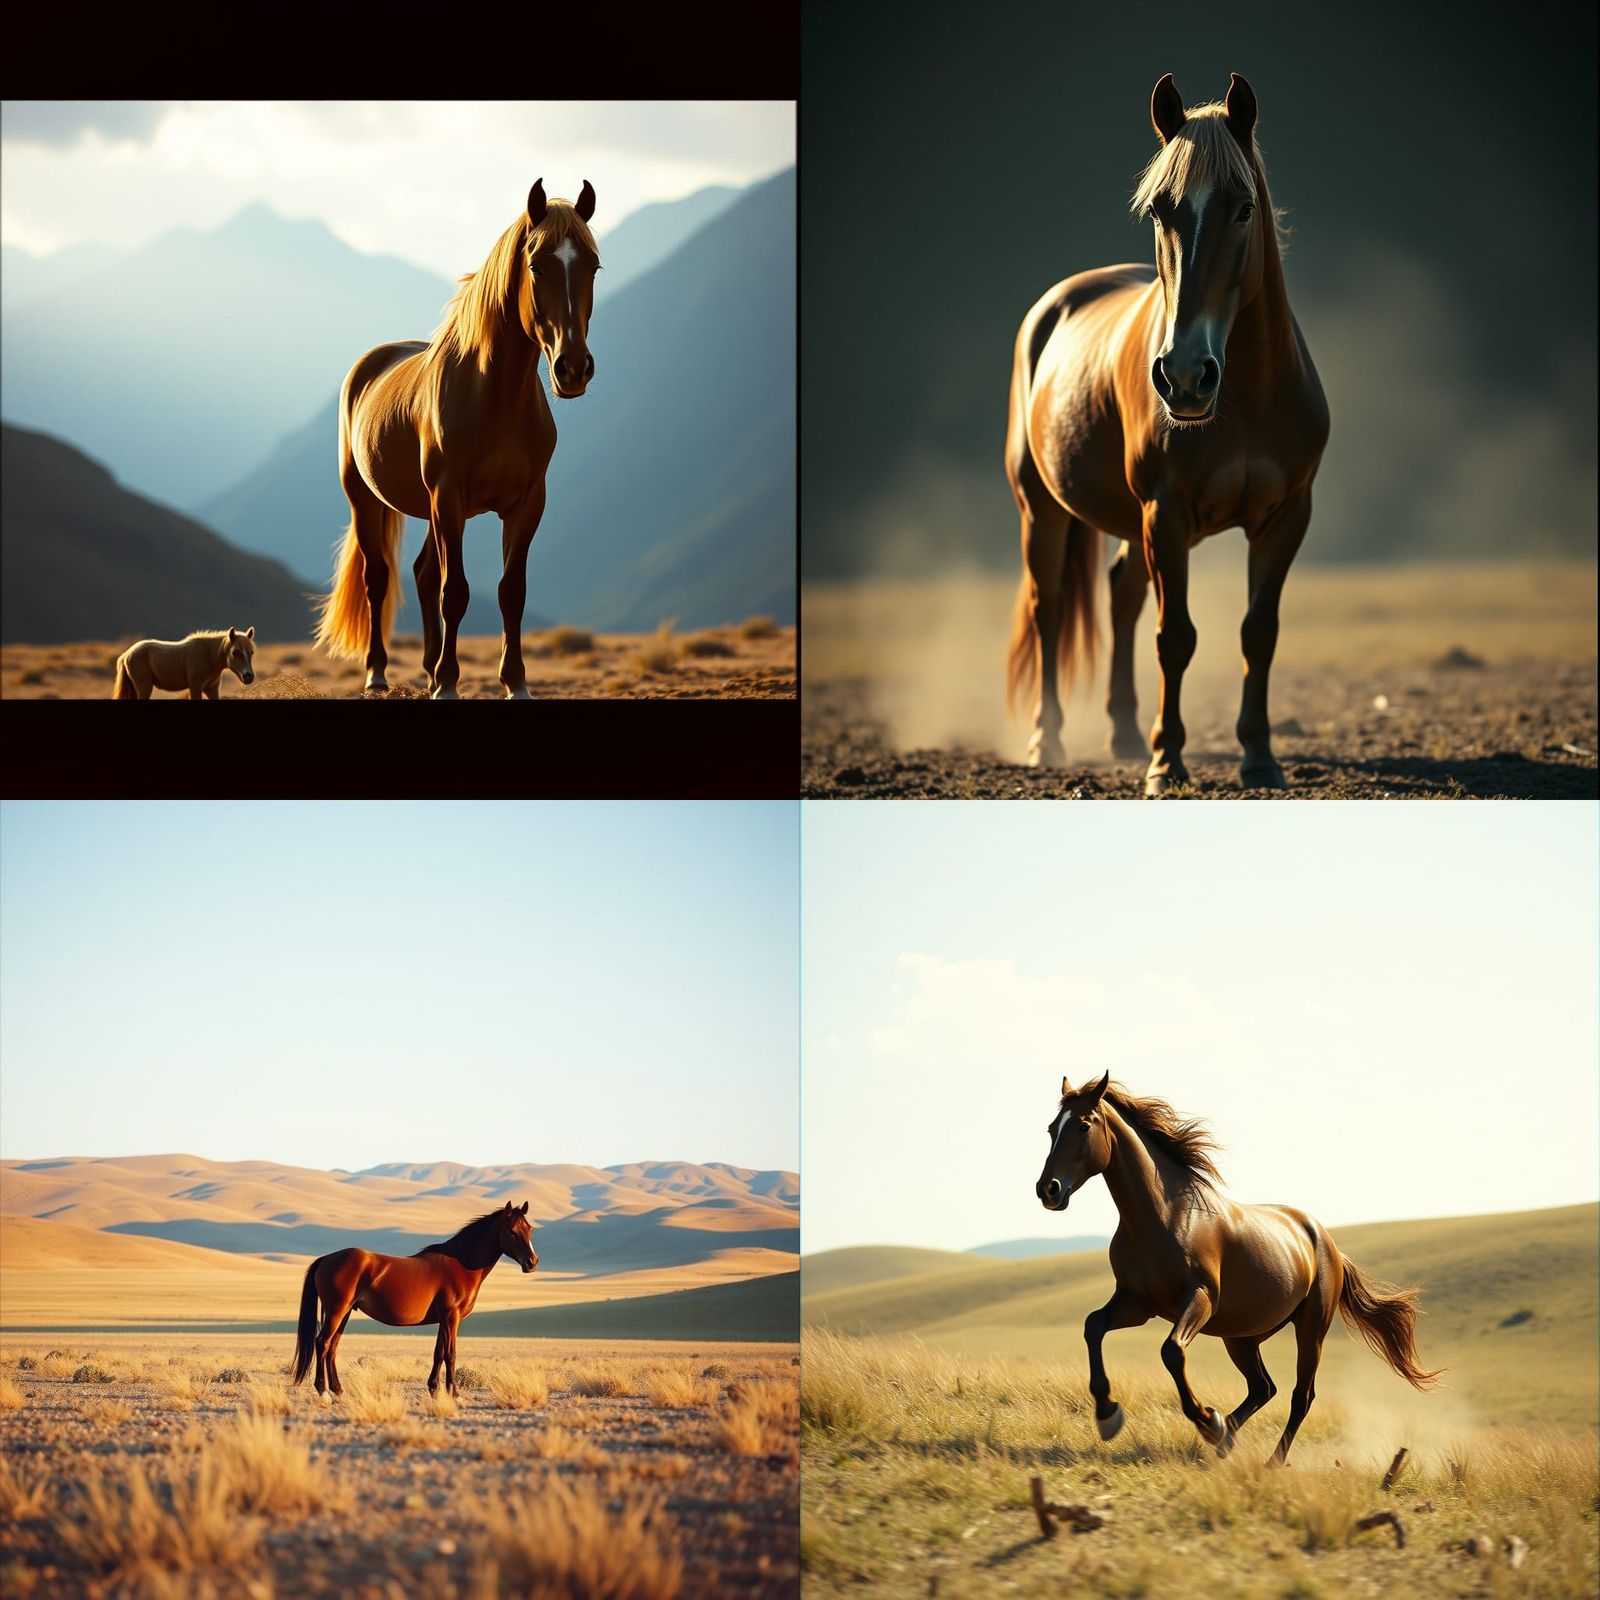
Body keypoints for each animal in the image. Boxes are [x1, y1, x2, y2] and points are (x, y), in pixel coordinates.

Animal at [291, 1201, 538, 1397]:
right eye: (512, 1231)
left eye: (530, 1230)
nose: (532, 1262)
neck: (461, 1264)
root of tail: (326, 1259)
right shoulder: (452, 1317)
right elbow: (451, 1353)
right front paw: (454, 1393)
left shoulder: (443, 1319)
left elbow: (439, 1353)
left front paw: (434, 1388)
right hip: (337, 1311)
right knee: (322, 1343)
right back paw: (323, 1390)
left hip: (344, 1312)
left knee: (332, 1347)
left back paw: (338, 1390)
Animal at [314, 179, 600, 699]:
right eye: (536, 265)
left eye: (592, 265)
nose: (573, 368)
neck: (495, 398)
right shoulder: (448, 498)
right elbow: (457, 591)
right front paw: (448, 682)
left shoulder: (527, 504)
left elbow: (511, 592)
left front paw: (515, 682)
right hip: (367, 499)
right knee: (378, 578)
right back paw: (378, 672)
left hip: (430, 510)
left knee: (422, 574)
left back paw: (427, 668)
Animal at [1005, 74, 1329, 795]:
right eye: (1160, 210)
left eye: (1243, 208)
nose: (1183, 377)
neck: (1244, 399)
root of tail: (1055, 303)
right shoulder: (1168, 513)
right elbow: (1175, 636)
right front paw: (1166, 763)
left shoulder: (1286, 517)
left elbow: (1258, 632)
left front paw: (1259, 758)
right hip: (1043, 510)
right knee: (1049, 606)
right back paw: (1049, 741)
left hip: (1129, 523)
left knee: (1121, 594)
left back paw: (1124, 733)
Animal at [1035, 1074, 1439, 1465]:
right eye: (1052, 1128)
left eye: (1083, 1125)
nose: (1048, 1190)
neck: (1164, 1216)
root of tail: (1328, 1243)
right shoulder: (1138, 1304)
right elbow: (1093, 1326)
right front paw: (1108, 1414)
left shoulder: (1199, 1299)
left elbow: (1171, 1351)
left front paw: (1206, 1419)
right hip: (1241, 1336)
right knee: (1263, 1387)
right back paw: (1225, 1437)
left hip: (1310, 1328)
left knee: (1301, 1395)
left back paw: (1266, 1459)